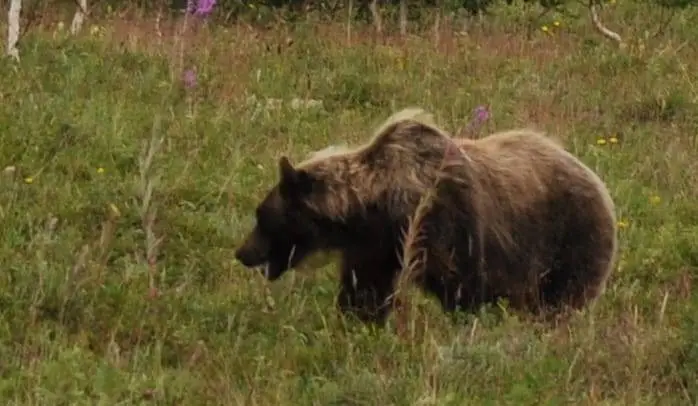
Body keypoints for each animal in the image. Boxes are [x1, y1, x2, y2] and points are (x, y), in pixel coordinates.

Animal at [234, 107, 618, 325]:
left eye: (261, 216)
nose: (242, 252)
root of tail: (599, 181)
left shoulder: (442, 217)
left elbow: (462, 283)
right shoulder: (375, 245)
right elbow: (365, 290)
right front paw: (358, 322)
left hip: (569, 234)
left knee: (561, 297)